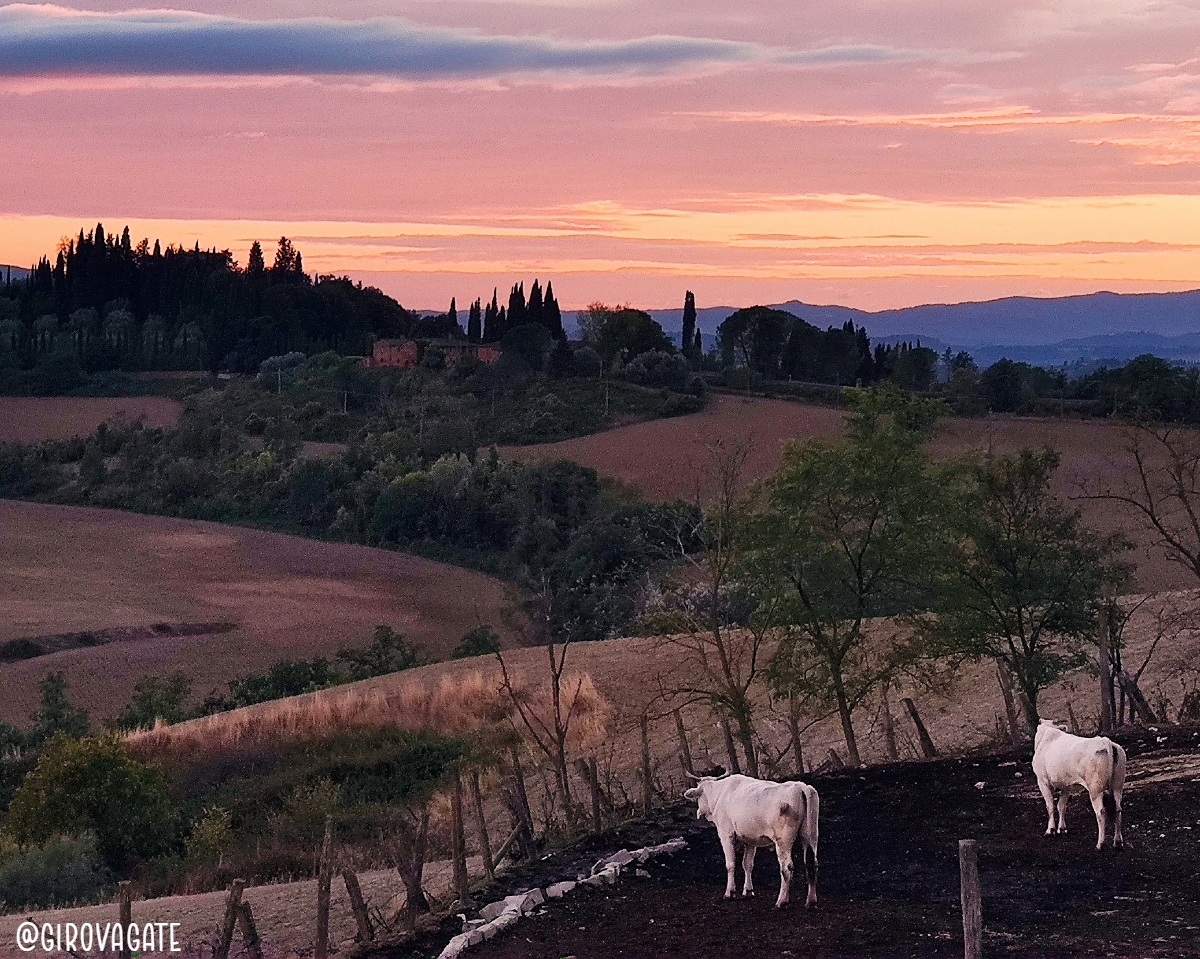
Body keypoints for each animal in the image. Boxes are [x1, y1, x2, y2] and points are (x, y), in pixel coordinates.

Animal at [686, 772, 816, 907]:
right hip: (810, 836)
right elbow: (747, 864)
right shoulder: (750, 840)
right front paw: (748, 891)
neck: (720, 794)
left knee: (787, 868)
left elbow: (730, 864)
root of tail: (799, 786)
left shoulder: (726, 834)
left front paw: (729, 892)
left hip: (783, 842)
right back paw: (811, 901)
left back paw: (781, 901)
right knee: (812, 864)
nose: (699, 812)